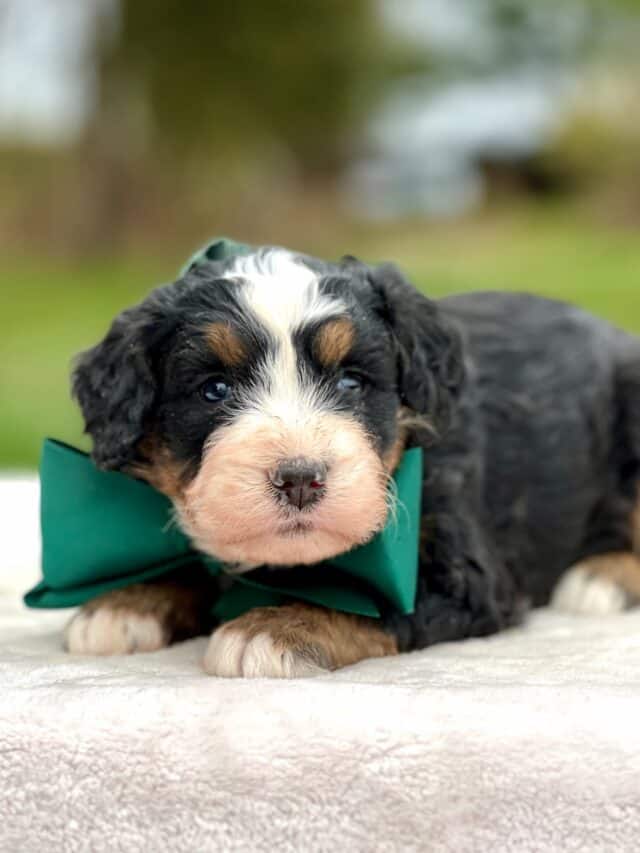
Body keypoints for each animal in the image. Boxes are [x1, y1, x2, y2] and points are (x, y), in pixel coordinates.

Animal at [63, 243, 640, 676]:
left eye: (351, 382)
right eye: (214, 390)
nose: (299, 479)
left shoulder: (461, 572)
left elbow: (362, 600)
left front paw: (270, 629)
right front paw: (125, 603)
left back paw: (600, 579)